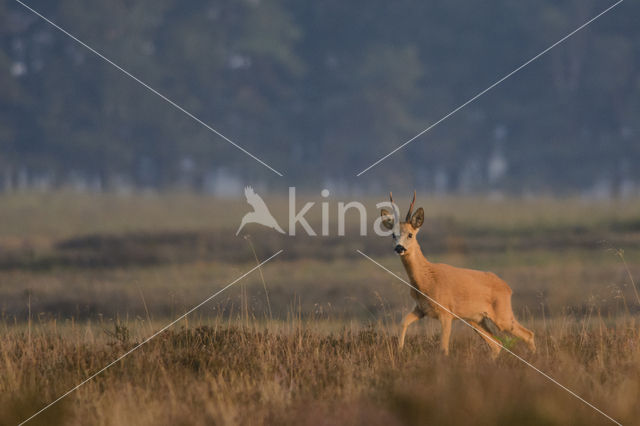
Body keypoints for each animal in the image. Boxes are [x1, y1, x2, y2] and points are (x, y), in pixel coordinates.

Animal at [380, 191, 536, 358]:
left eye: (410, 234)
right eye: (393, 235)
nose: (399, 248)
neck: (426, 280)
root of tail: (507, 288)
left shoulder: (446, 313)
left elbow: (443, 348)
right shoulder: (420, 309)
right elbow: (403, 322)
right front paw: (400, 351)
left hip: (502, 316)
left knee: (528, 334)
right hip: (476, 320)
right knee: (497, 344)